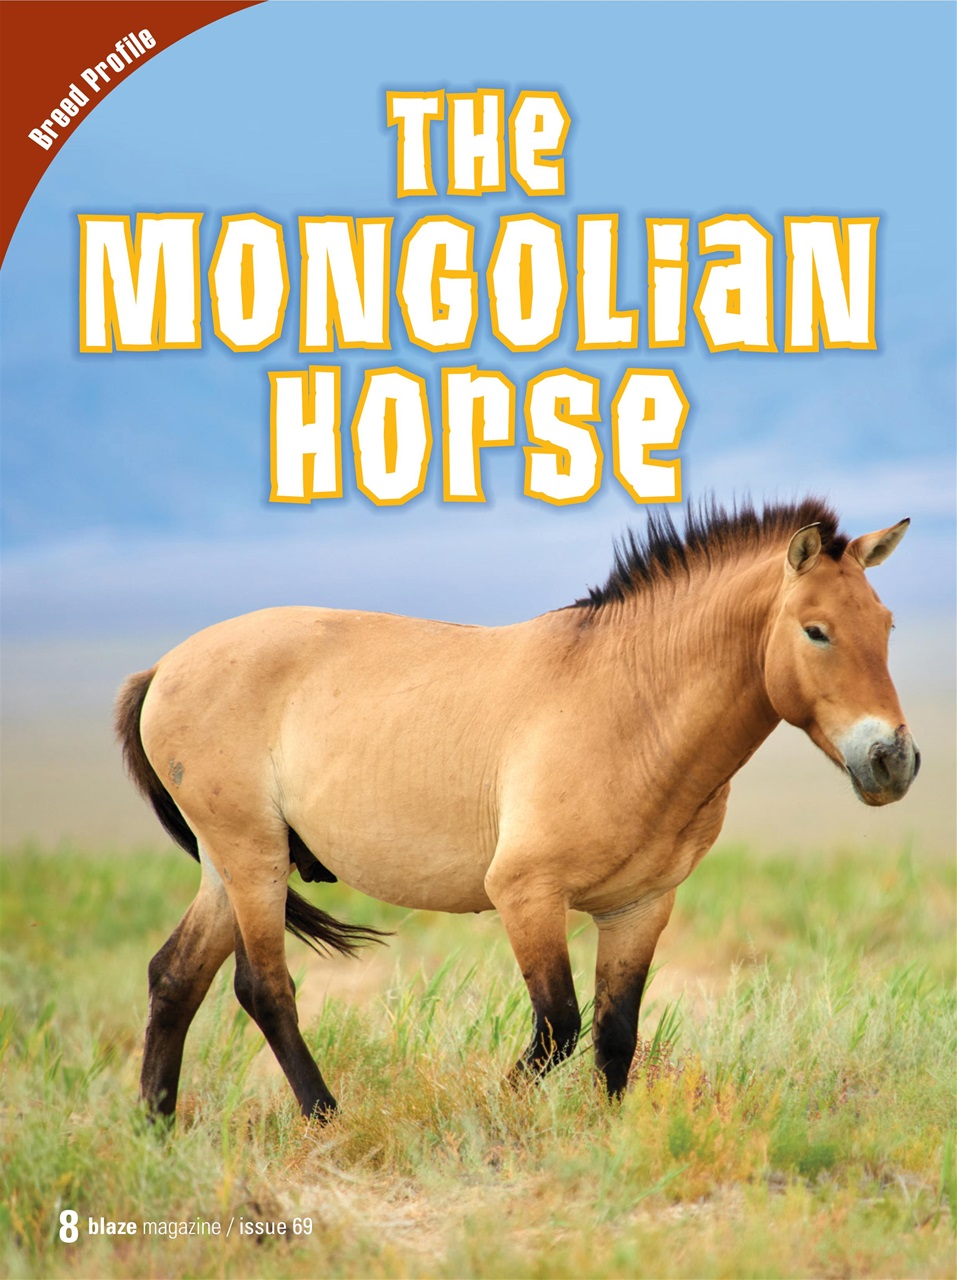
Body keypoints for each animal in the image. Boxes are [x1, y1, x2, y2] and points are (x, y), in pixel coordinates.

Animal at [116, 499, 920, 1122]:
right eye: (815, 629)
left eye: (885, 624)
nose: (892, 760)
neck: (628, 704)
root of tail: (164, 666)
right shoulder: (526, 895)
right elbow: (559, 1028)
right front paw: (487, 1116)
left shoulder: (639, 907)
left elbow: (615, 1034)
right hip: (252, 858)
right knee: (264, 988)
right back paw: (324, 1118)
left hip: (232, 866)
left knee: (173, 977)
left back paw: (157, 1126)